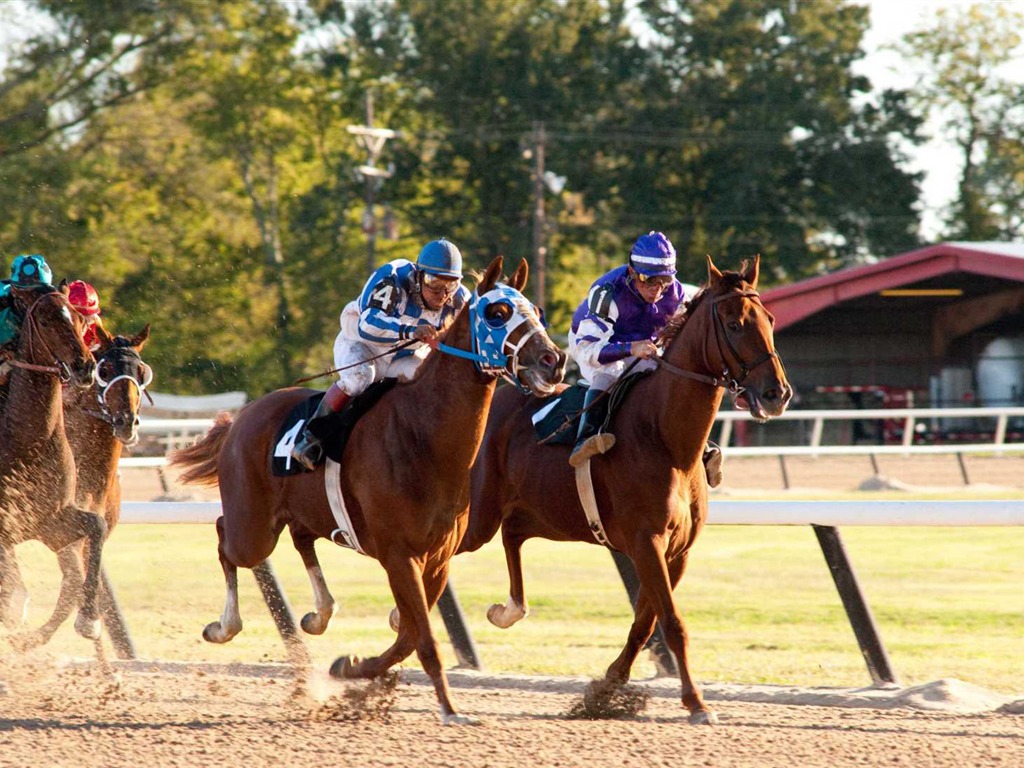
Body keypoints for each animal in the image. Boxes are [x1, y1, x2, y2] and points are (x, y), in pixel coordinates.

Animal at [0, 286, 102, 638]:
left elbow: (96, 526)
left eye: (80, 319)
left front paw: (89, 619)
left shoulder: (47, 521)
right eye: (45, 320)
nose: (85, 367)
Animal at [1, 325, 151, 651]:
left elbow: (77, 583)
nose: (126, 421)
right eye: (105, 370)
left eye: (142, 371)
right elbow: (73, 582)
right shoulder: (55, 531)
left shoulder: (66, 530)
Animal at [171, 260, 565, 729]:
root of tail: (241, 417)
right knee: (225, 539)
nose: (554, 361)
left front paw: (353, 667)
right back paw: (224, 626)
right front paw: (450, 710)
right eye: (498, 312)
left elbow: (410, 635)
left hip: (303, 512)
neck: (424, 437)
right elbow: (423, 638)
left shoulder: (437, 560)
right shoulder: (399, 555)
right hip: (254, 527)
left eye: (537, 311)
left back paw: (319, 613)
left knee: (300, 538)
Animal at [462, 257, 790, 729]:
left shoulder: (676, 550)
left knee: (512, 539)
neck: (666, 438)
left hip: (529, 513)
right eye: (733, 323)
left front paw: (606, 688)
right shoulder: (645, 540)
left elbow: (646, 622)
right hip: (476, 515)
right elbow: (671, 621)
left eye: (769, 320)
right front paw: (696, 702)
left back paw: (507, 610)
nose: (776, 393)